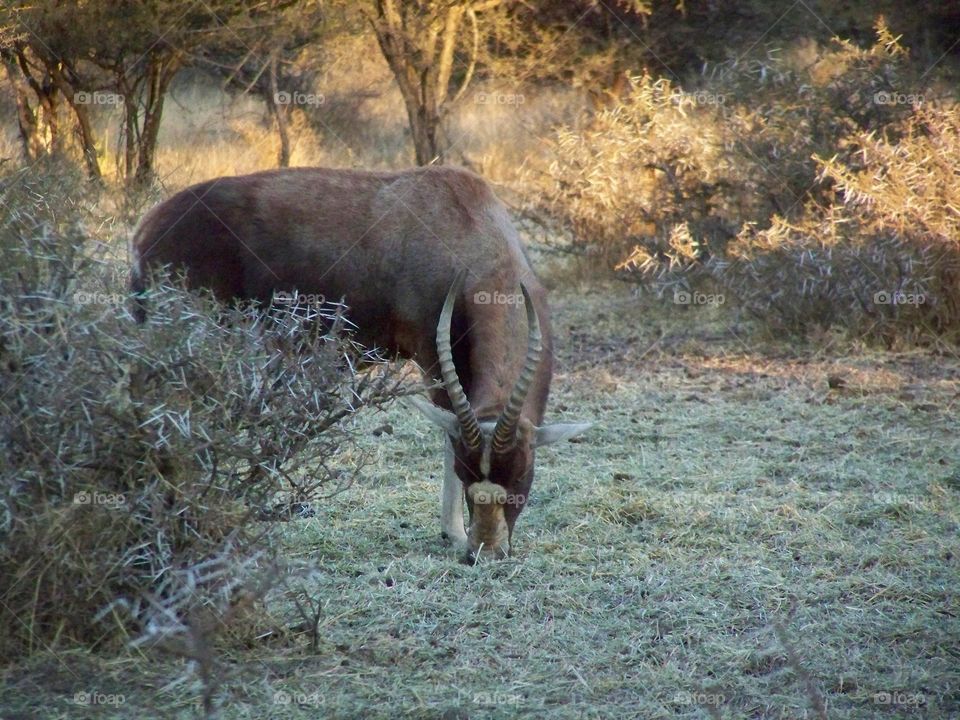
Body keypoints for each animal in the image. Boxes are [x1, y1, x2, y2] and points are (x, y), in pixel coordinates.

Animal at [130, 165, 591, 562]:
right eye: (467, 476)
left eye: (519, 477)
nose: (486, 553)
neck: (464, 222)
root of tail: (146, 231)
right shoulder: (433, 359)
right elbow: (444, 430)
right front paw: (454, 534)